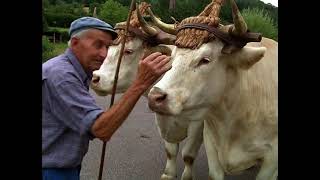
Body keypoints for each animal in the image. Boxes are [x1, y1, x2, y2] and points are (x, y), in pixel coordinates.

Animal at [90, 2, 202, 179]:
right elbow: (170, 151)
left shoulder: (199, 124)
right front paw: (168, 174)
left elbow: (188, 155)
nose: (95, 78)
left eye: (128, 51)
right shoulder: (162, 119)